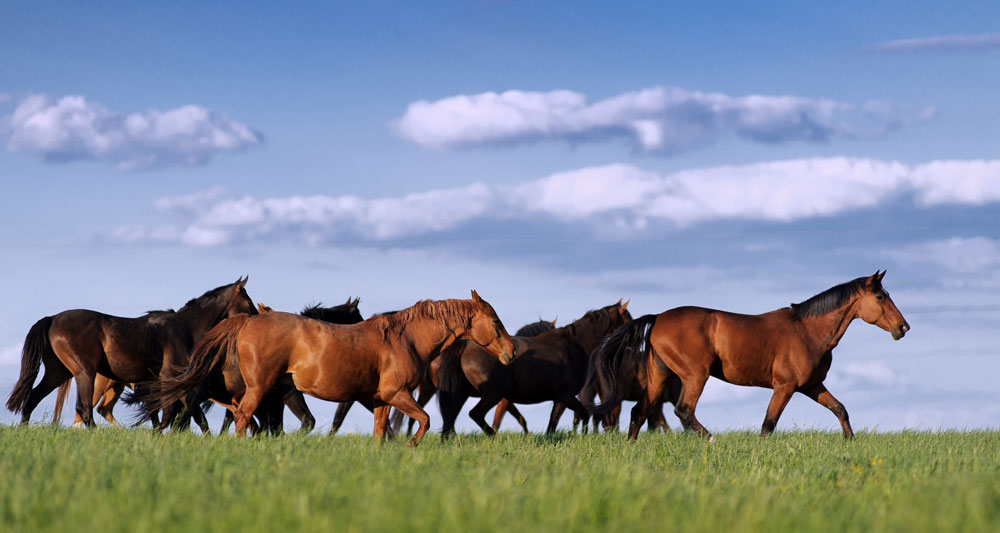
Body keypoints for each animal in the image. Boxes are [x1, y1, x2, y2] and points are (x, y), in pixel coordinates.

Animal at [6, 278, 258, 428]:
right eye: (248, 301)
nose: (257, 319)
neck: (185, 328)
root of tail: (52, 319)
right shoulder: (170, 378)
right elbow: (174, 414)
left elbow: (187, 415)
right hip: (84, 373)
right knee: (84, 409)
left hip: (58, 373)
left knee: (33, 398)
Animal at [131, 290, 516, 444]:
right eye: (496, 322)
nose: (511, 351)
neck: (404, 339)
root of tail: (247, 321)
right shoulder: (397, 394)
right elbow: (423, 421)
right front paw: (411, 448)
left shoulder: (380, 400)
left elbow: (381, 432)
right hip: (259, 389)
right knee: (240, 418)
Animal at [434, 300, 628, 436]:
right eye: (627, 320)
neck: (574, 345)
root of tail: (464, 345)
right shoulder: (563, 397)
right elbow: (552, 427)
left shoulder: (567, 397)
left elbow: (583, 414)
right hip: (492, 394)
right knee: (474, 414)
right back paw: (492, 436)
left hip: (461, 394)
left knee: (449, 421)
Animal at [588, 272, 912, 438]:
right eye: (880, 296)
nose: (903, 327)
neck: (807, 331)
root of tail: (657, 318)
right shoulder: (785, 387)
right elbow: (769, 424)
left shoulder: (811, 385)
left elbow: (840, 408)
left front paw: (850, 441)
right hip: (695, 375)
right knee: (684, 411)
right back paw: (710, 439)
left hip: (659, 376)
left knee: (638, 413)